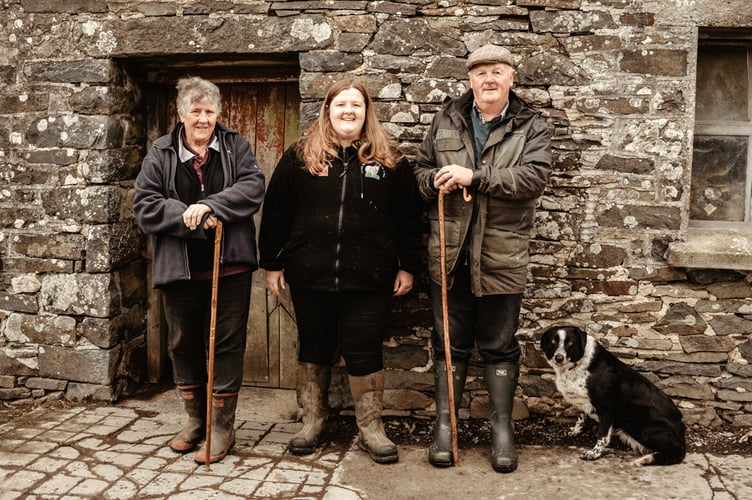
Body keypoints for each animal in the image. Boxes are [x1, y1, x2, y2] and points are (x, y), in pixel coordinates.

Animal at [540, 324, 688, 464]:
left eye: (570, 343)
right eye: (553, 342)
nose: (559, 358)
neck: (578, 365)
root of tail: (680, 425)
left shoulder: (606, 407)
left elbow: (603, 436)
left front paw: (594, 454)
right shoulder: (584, 401)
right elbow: (581, 418)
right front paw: (575, 431)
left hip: (645, 428)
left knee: (678, 452)